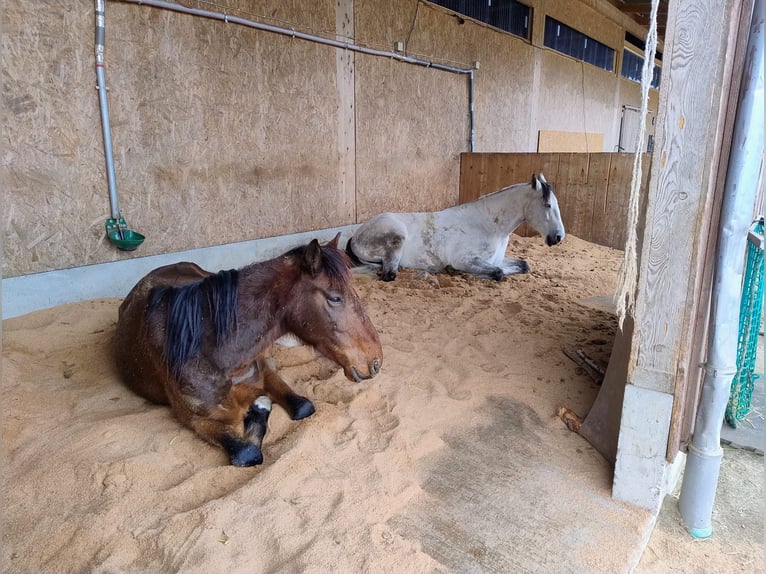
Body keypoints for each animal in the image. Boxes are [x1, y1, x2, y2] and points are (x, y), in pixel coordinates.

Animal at [114, 234, 383, 467]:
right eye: (335, 298)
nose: (376, 361)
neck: (213, 351)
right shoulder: (194, 419)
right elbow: (247, 452)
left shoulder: (267, 370)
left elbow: (303, 406)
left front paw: (260, 405)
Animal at [346, 173, 565, 281]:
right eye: (547, 205)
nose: (558, 237)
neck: (489, 226)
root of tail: (356, 236)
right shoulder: (466, 260)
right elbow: (498, 273)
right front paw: (455, 271)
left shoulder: (496, 259)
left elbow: (523, 266)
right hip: (397, 237)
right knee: (388, 276)